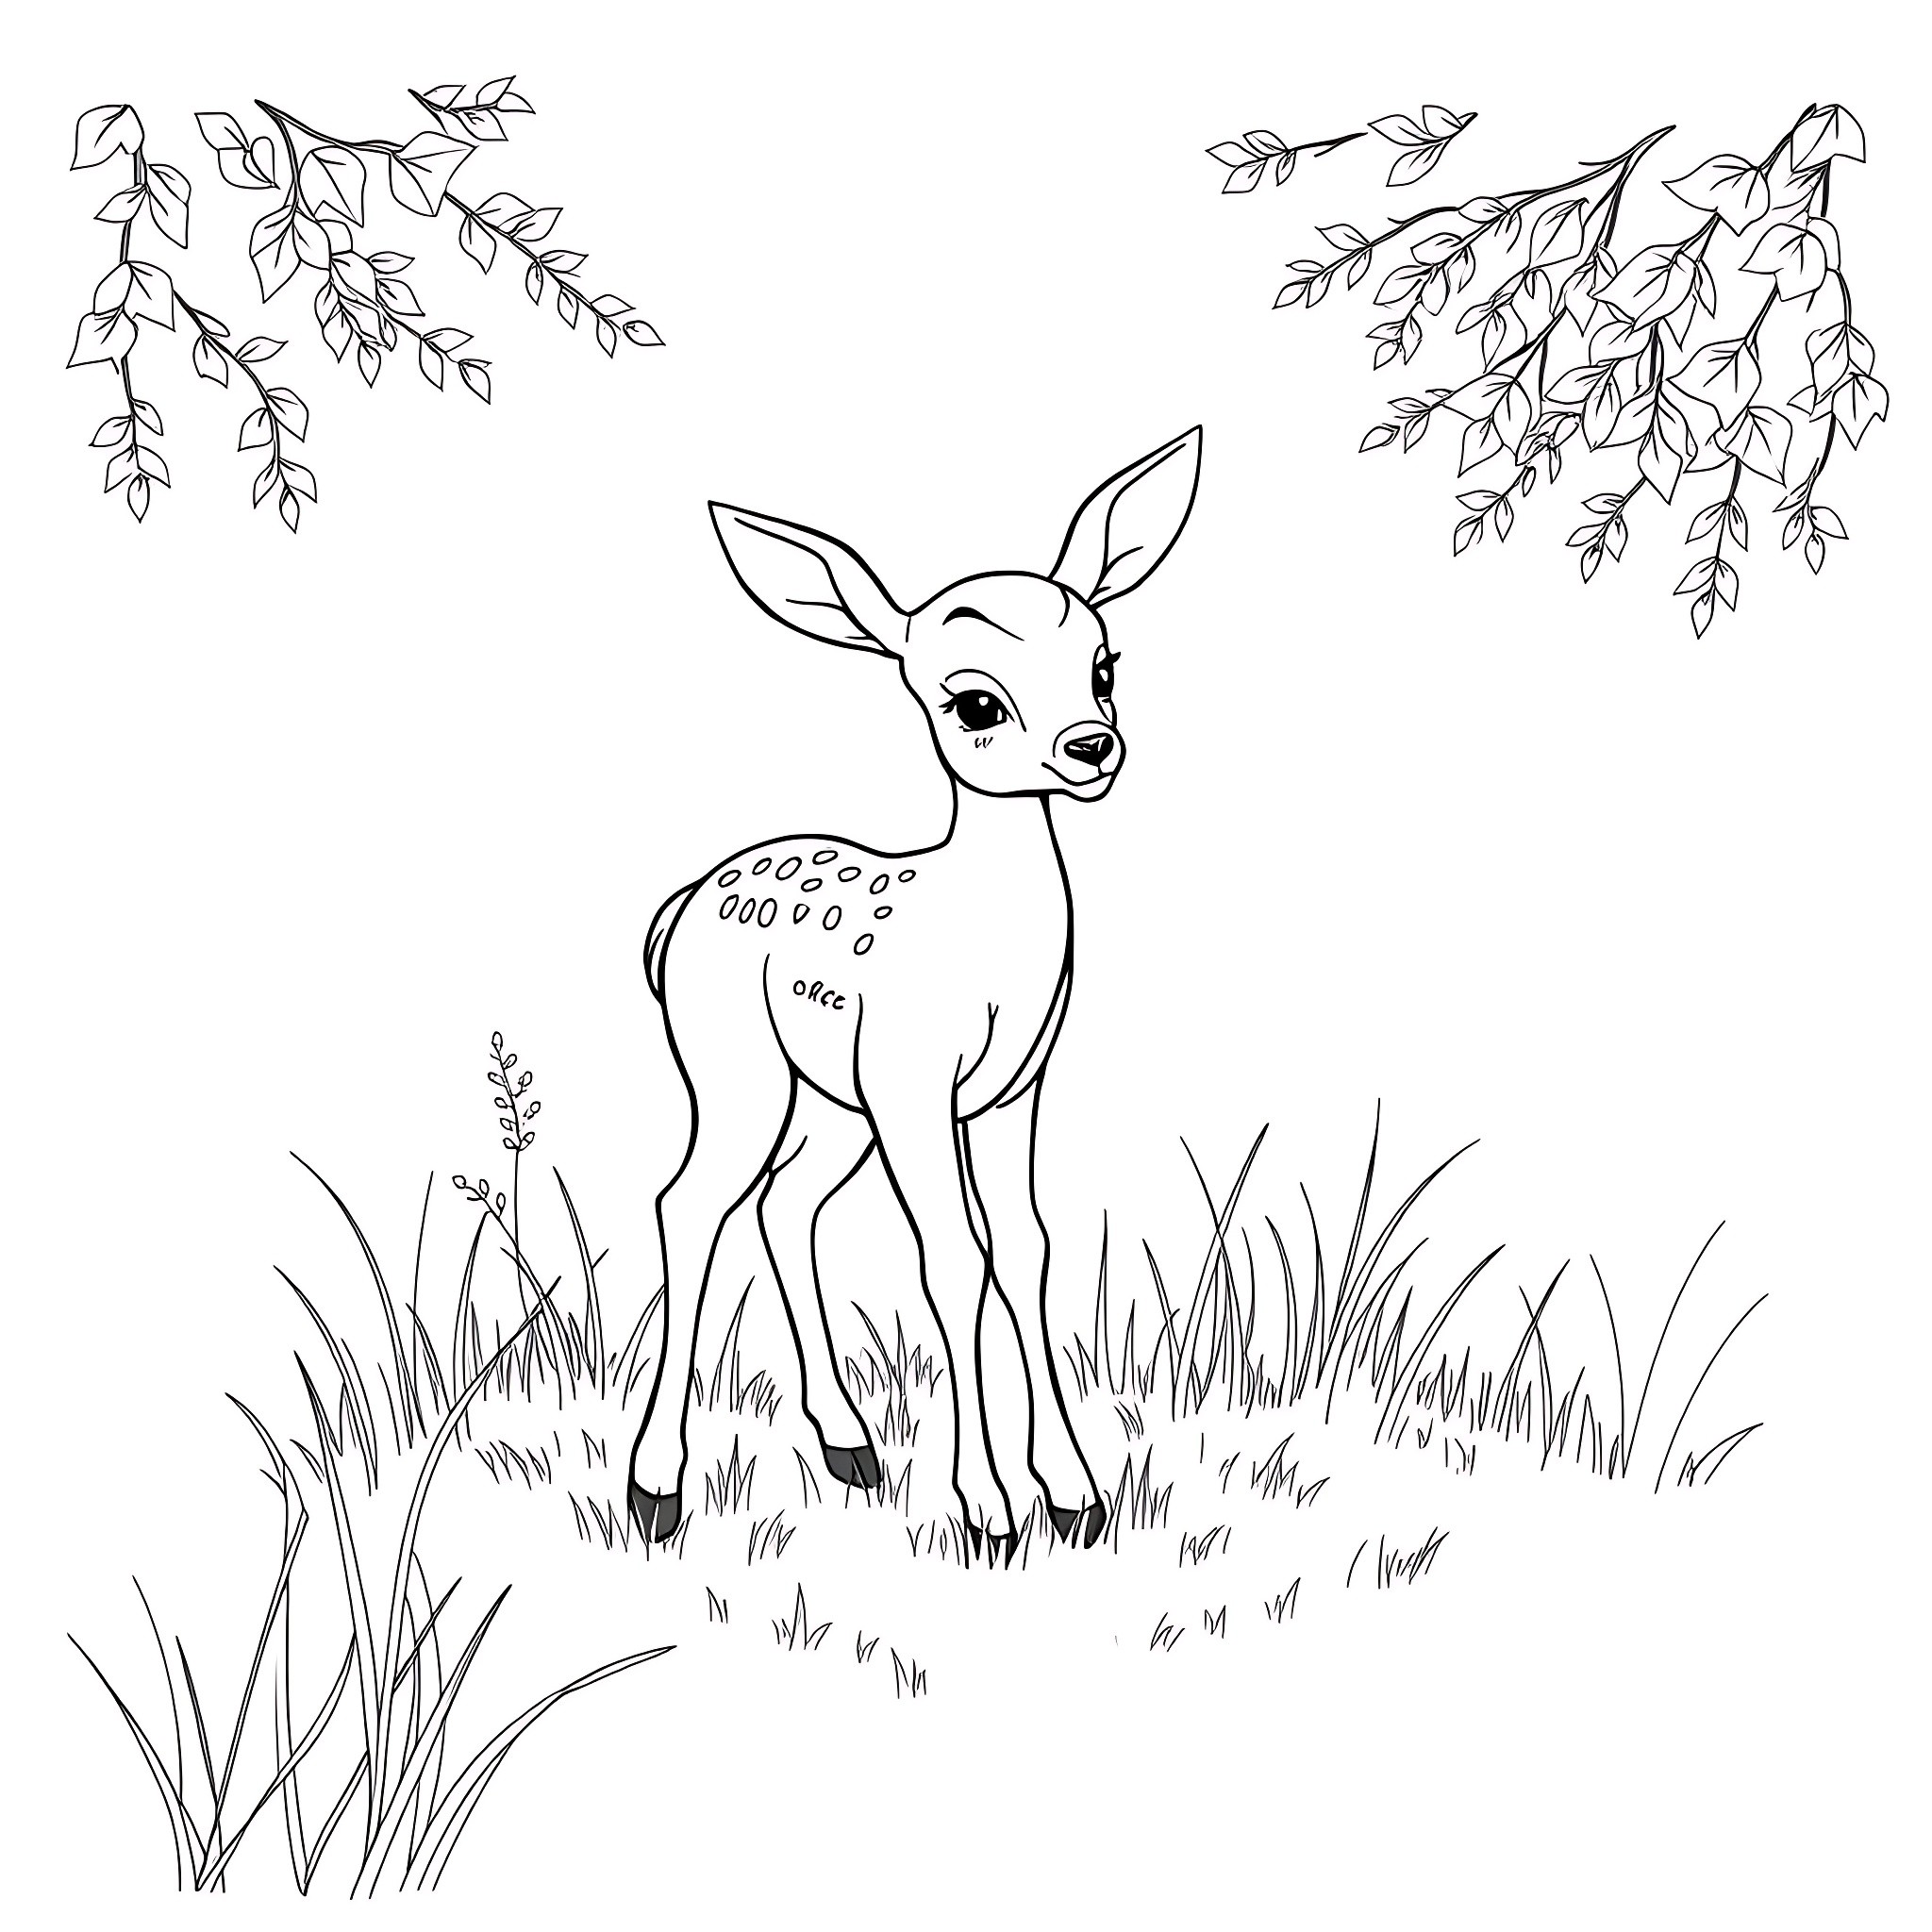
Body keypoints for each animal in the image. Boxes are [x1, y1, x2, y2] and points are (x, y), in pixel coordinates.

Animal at [626, 427, 1204, 1556]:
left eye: (1103, 665)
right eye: (975, 701)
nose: (1092, 748)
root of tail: (676, 912)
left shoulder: (1007, 1091)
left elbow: (1024, 1249)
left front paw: (1073, 1494)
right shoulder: (915, 1085)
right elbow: (949, 1257)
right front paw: (988, 1507)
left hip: (831, 1101)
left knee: (784, 1203)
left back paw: (849, 1445)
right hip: (738, 1070)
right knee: (691, 1201)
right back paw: (656, 1488)